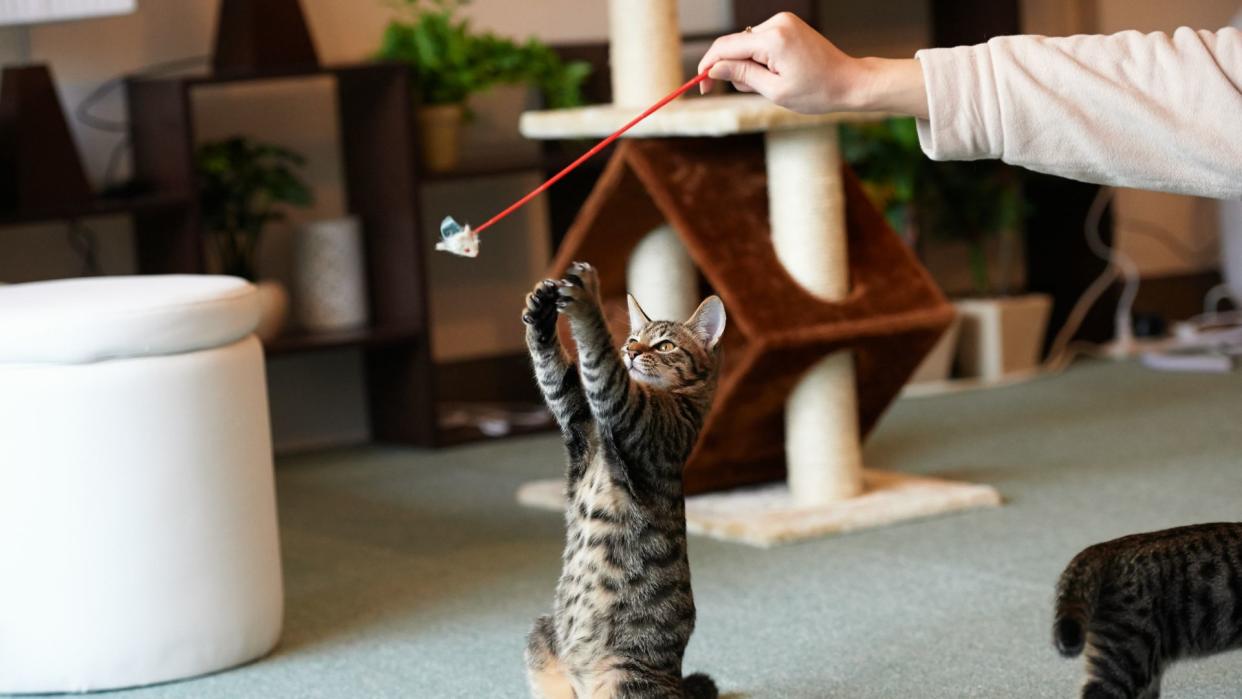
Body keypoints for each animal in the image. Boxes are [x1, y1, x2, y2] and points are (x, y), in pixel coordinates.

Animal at [519, 263, 725, 699]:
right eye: (633, 339)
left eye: (664, 345)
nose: (630, 352)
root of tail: (678, 684)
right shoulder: (580, 424)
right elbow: (556, 373)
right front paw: (541, 313)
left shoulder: (628, 411)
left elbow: (597, 355)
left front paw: (587, 298)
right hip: (543, 636)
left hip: (622, 677)